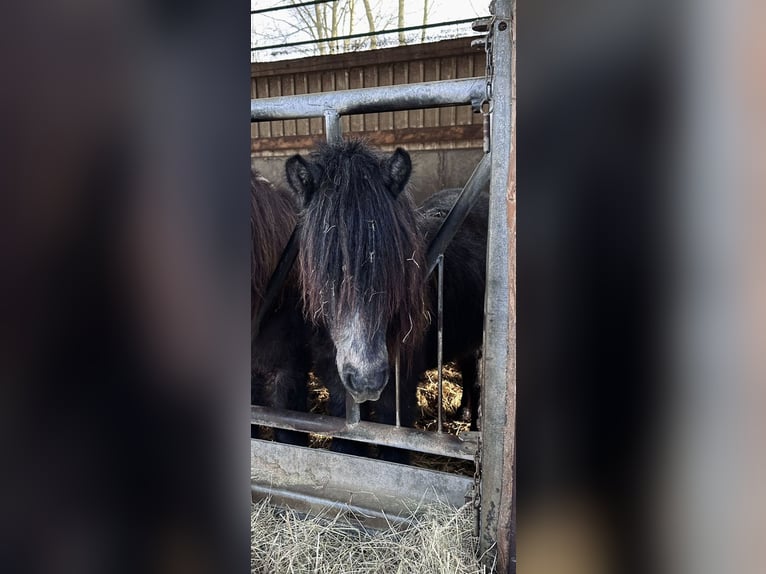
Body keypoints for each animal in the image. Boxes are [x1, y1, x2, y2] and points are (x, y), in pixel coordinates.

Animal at [284, 140, 488, 464]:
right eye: (323, 265)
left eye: (396, 263)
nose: (366, 380)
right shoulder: (338, 387)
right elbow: (347, 445)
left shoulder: (398, 392)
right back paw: (464, 411)